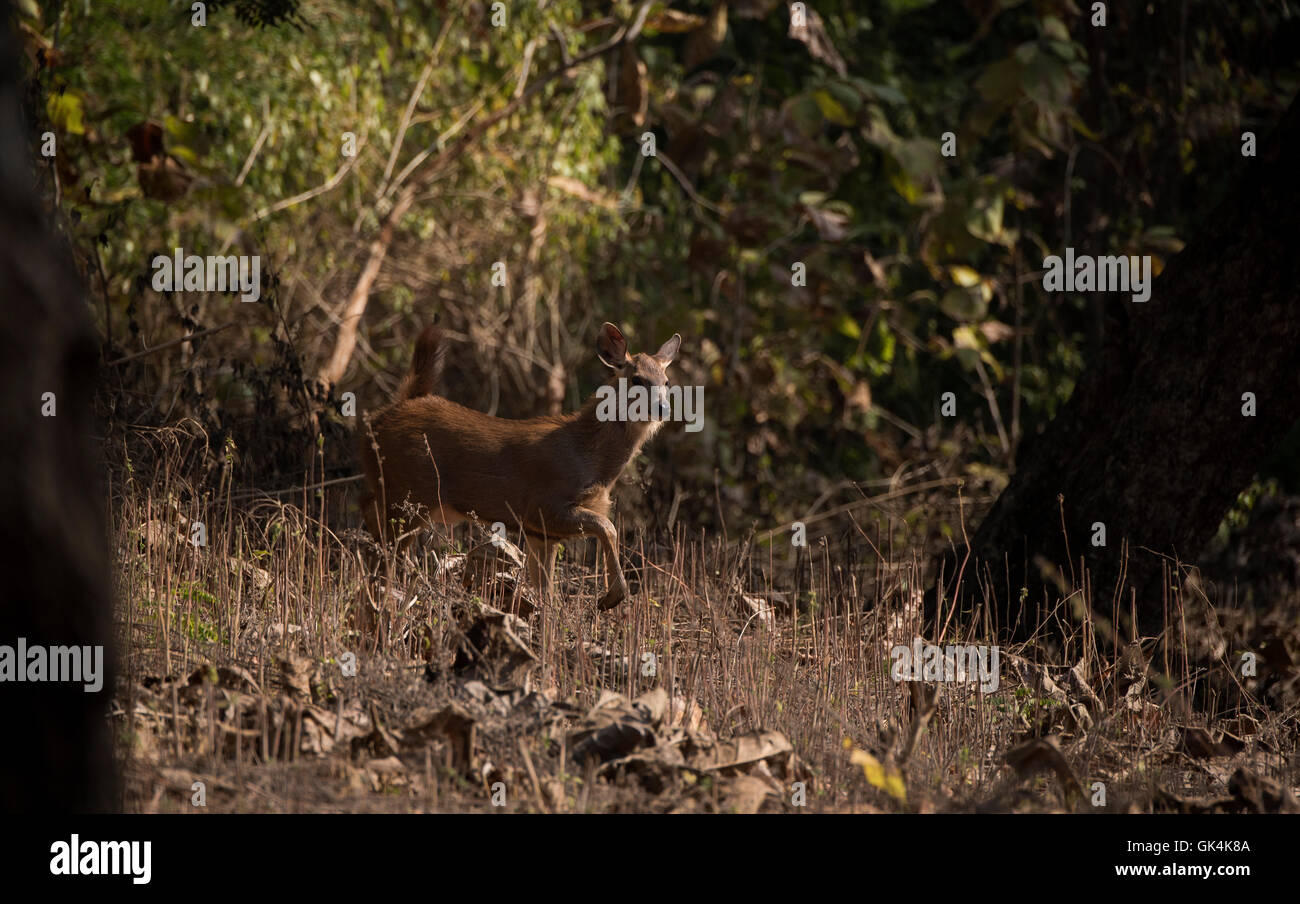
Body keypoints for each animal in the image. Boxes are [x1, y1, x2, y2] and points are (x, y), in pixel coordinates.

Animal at [356, 321, 681, 611]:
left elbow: (547, 592)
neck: (590, 459)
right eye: (637, 379)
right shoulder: (544, 505)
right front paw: (611, 597)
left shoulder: (541, 533)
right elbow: (608, 526)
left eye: (666, 382)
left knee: (370, 516)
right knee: (383, 544)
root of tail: (384, 416)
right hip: (409, 496)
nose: (664, 408)